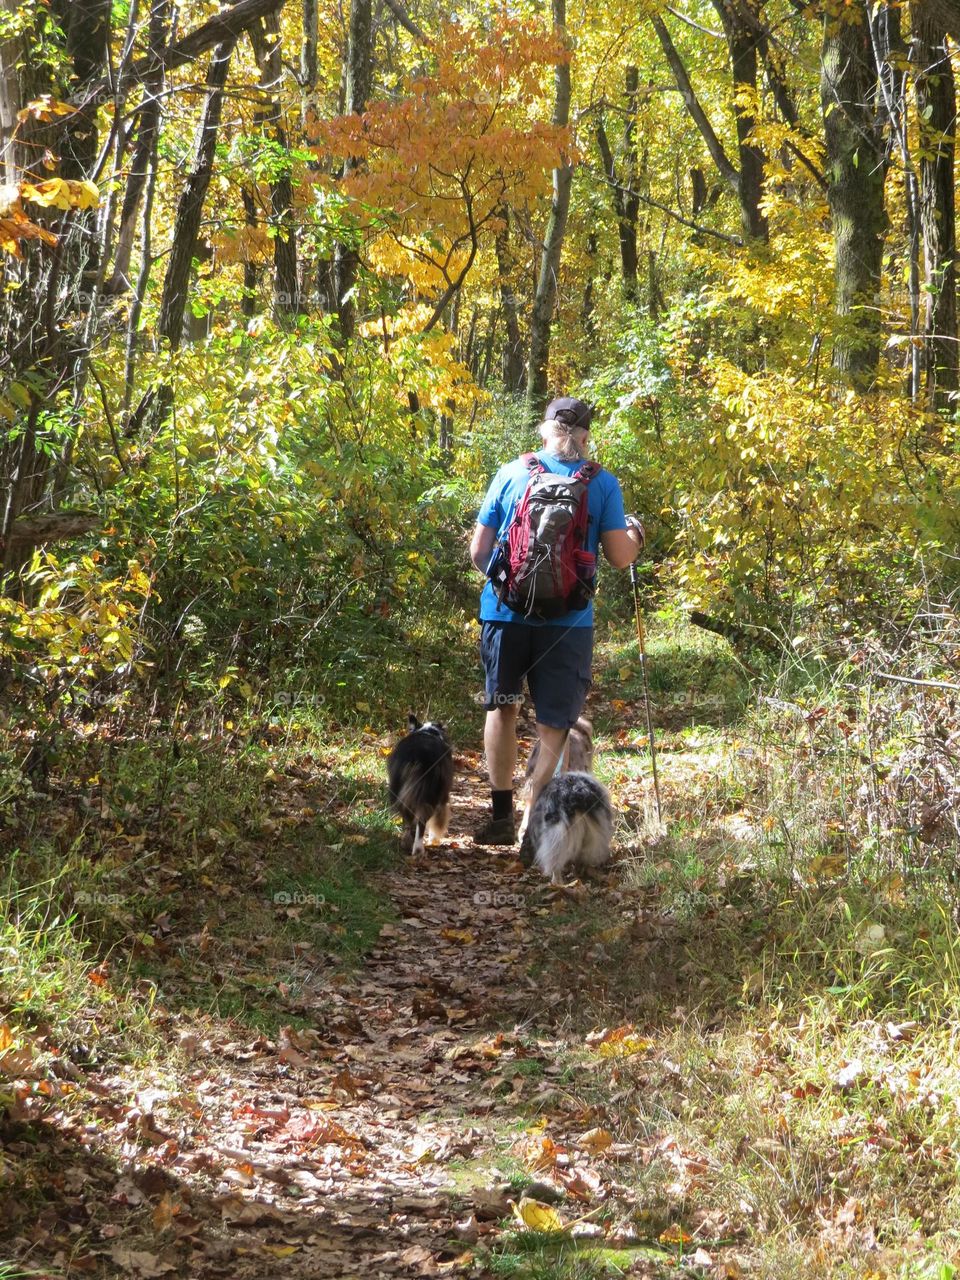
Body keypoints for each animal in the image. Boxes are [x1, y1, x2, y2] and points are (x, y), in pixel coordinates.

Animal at [386, 716, 455, 855]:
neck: (428, 731)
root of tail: (419, 755)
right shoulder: (443, 796)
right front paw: (435, 838)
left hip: (400, 789)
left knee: (408, 819)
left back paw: (407, 843)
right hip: (430, 794)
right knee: (421, 821)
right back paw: (418, 848)